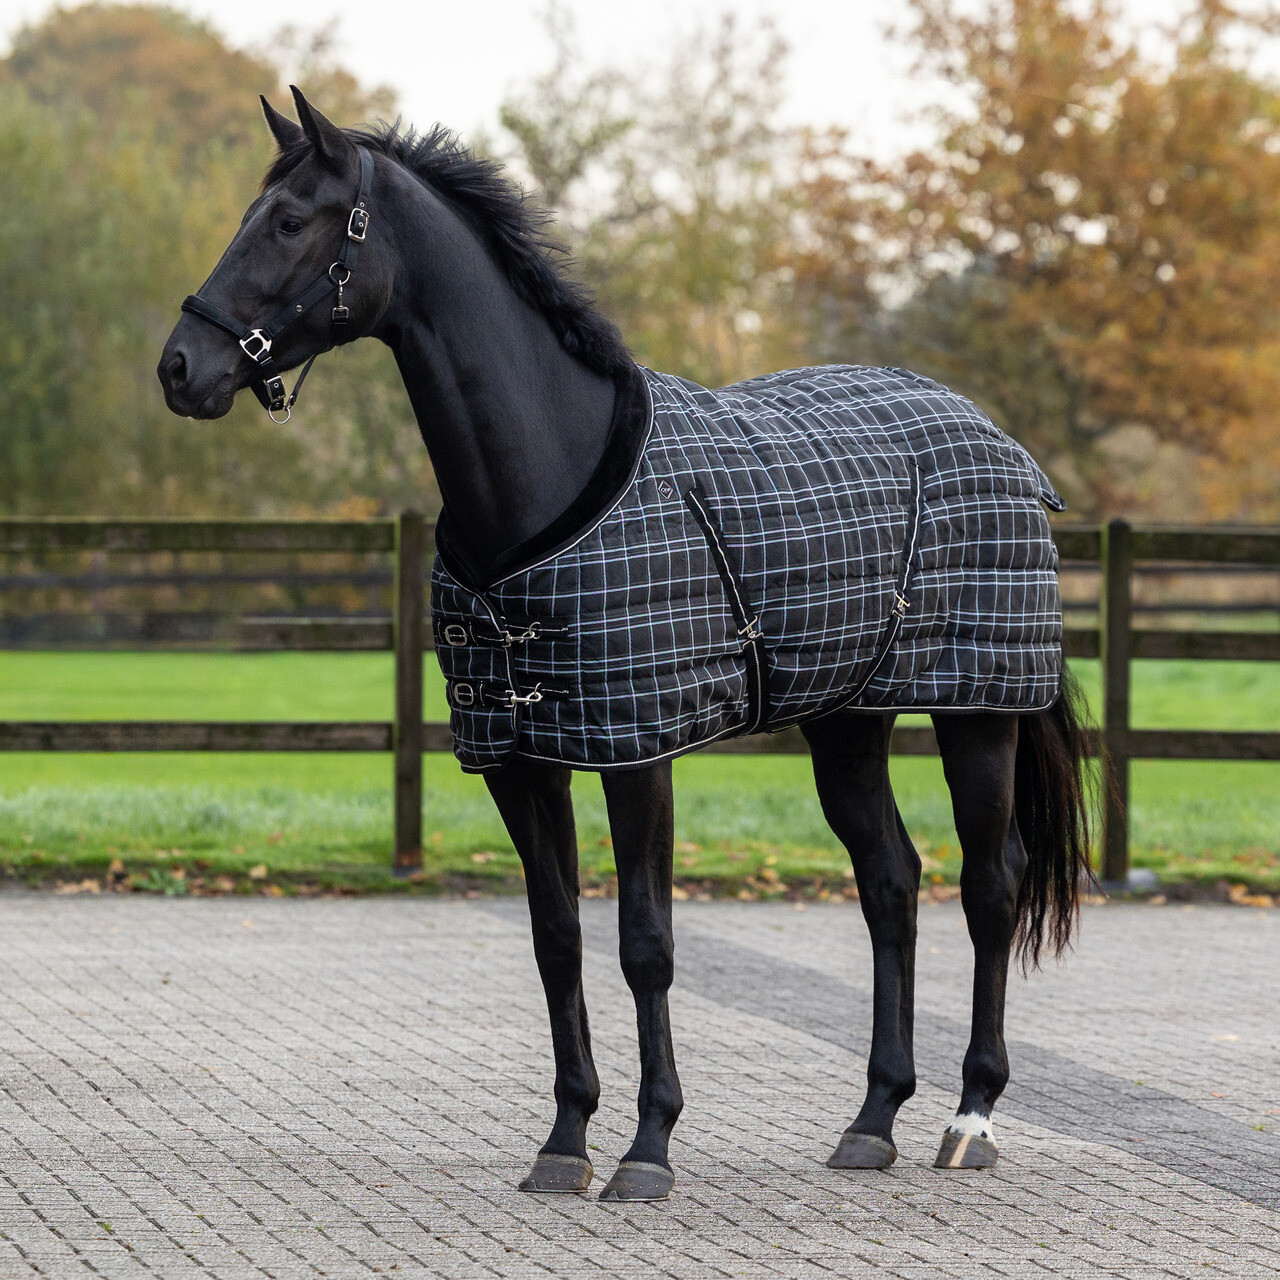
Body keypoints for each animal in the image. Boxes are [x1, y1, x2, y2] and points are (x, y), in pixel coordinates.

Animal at [158, 87, 1093, 1203]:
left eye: (291, 221)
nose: (180, 368)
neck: (544, 479)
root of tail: (996, 441)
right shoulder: (517, 757)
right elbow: (555, 936)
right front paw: (564, 1139)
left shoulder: (637, 751)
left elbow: (644, 941)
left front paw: (649, 1147)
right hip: (846, 720)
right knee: (890, 882)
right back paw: (872, 1118)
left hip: (977, 710)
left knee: (991, 886)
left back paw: (970, 1115)